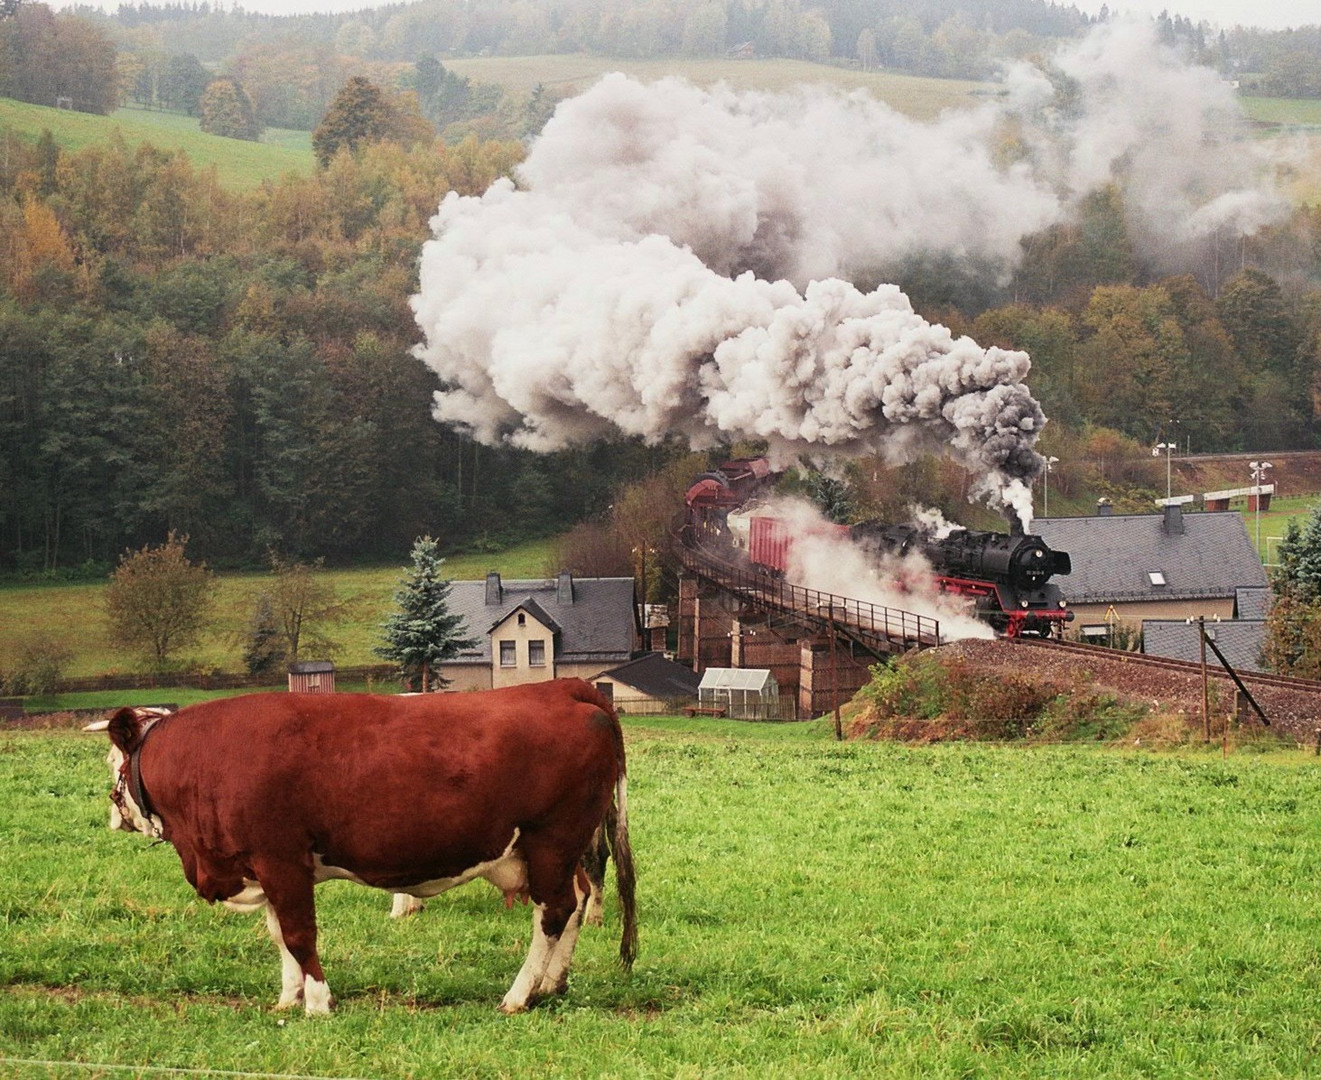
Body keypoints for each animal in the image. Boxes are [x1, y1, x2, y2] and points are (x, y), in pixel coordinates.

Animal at [86, 675, 634, 1013]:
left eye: (112, 761)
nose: (113, 817)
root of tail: (565, 687)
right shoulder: (265, 866)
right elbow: (278, 934)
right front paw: (288, 997)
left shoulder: (281, 859)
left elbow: (299, 934)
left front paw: (318, 1002)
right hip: (555, 851)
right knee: (577, 901)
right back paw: (551, 985)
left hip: (552, 841)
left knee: (554, 913)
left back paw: (519, 995)